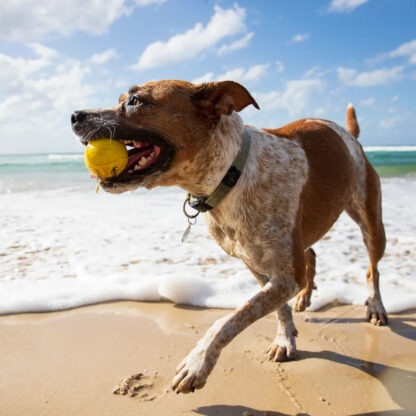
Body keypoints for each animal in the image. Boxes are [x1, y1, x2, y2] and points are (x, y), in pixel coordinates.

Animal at [70, 80, 386, 394]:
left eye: (135, 101)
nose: (74, 115)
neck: (231, 174)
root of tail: (350, 136)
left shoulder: (286, 274)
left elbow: (231, 318)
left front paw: (197, 362)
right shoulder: (256, 264)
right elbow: (277, 309)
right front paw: (285, 337)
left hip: (371, 220)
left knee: (372, 268)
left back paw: (376, 306)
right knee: (311, 253)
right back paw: (306, 296)